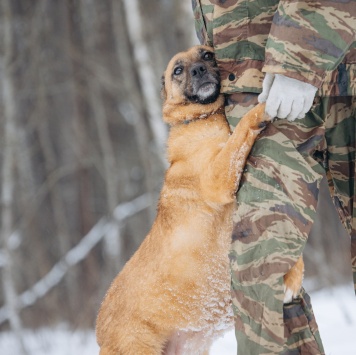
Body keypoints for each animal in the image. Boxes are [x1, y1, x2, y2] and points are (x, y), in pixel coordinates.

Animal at [95, 46, 304, 354]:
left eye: (206, 55)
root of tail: (99, 333)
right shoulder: (219, 178)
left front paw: (293, 278)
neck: (202, 118)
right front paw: (269, 102)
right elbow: (243, 126)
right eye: (178, 70)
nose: (198, 70)